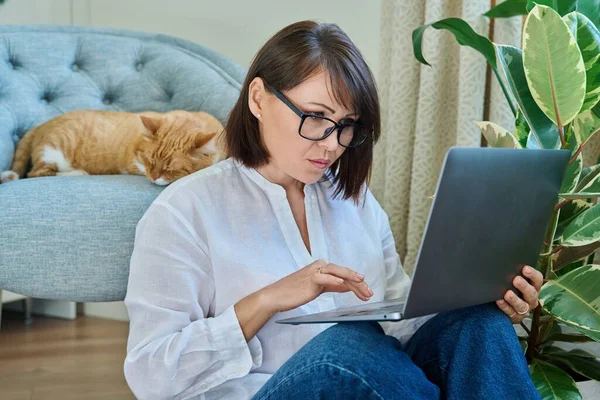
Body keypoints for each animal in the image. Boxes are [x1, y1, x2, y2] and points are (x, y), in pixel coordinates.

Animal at [0, 108, 225, 185]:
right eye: (149, 160)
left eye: (170, 169)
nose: (153, 177)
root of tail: (41, 124)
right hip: (54, 152)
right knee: (36, 174)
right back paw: (79, 172)